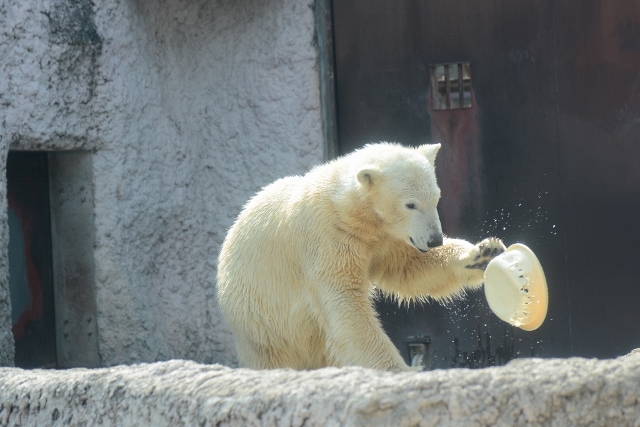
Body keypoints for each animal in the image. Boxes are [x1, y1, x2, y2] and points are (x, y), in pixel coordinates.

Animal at [216, 143, 504, 372]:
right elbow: (344, 299)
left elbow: (410, 267)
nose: (434, 240)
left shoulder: (385, 239)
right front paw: (398, 370)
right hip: (263, 320)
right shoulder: (327, 238)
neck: (351, 212)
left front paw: (484, 253)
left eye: (436, 198)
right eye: (410, 204)